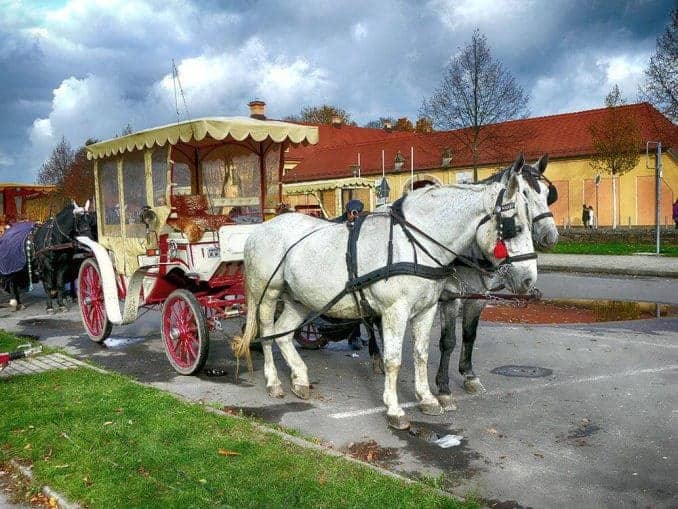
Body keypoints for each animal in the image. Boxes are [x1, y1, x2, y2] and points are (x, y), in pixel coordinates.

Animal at [236, 161, 540, 426]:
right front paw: (394, 409)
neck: (414, 241)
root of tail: (259, 230)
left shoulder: (427, 309)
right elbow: (393, 360)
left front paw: (427, 399)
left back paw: (299, 378)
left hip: (299, 299)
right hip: (267, 293)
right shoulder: (395, 311)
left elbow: (420, 355)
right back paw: (274, 381)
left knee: (283, 334)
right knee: (267, 332)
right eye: (515, 227)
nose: (528, 279)